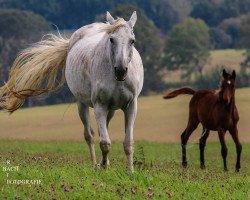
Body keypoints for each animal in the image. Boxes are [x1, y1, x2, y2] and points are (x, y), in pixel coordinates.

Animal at [0, 10, 144, 171]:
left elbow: (128, 143)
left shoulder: (130, 106)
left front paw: (129, 171)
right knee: (90, 135)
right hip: (82, 104)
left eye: (132, 41)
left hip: (111, 109)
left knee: (101, 130)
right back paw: (95, 164)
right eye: (112, 39)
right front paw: (103, 168)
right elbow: (105, 143)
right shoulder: (100, 105)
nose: (120, 70)